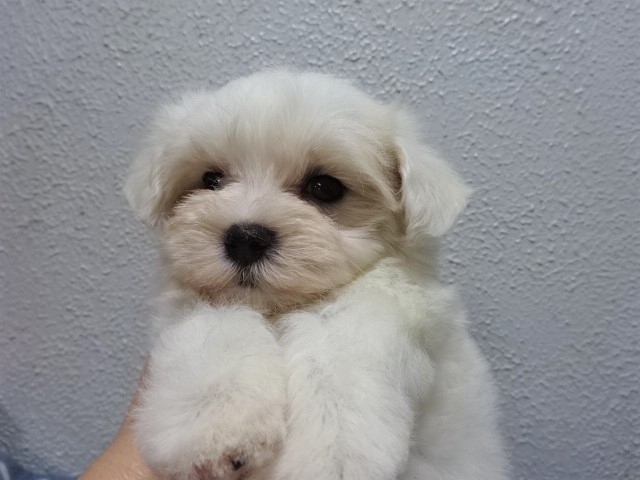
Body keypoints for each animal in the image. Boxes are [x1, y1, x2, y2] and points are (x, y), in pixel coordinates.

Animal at [125, 69, 507, 480]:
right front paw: (213, 422)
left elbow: (335, 342)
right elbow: (216, 327)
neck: (278, 308)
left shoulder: (397, 299)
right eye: (210, 180)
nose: (245, 238)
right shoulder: (193, 301)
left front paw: (330, 446)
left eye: (325, 187)